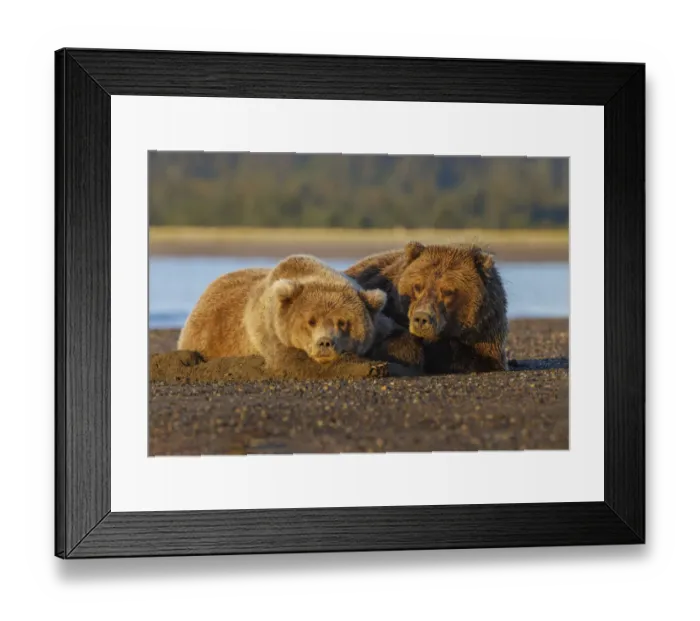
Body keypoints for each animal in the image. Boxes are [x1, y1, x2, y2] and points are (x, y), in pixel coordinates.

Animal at [176, 254, 416, 378]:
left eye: (343, 322)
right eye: (311, 321)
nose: (325, 342)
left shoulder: (378, 321)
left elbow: (399, 336)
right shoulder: (270, 328)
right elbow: (295, 362)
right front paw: (371, 367)